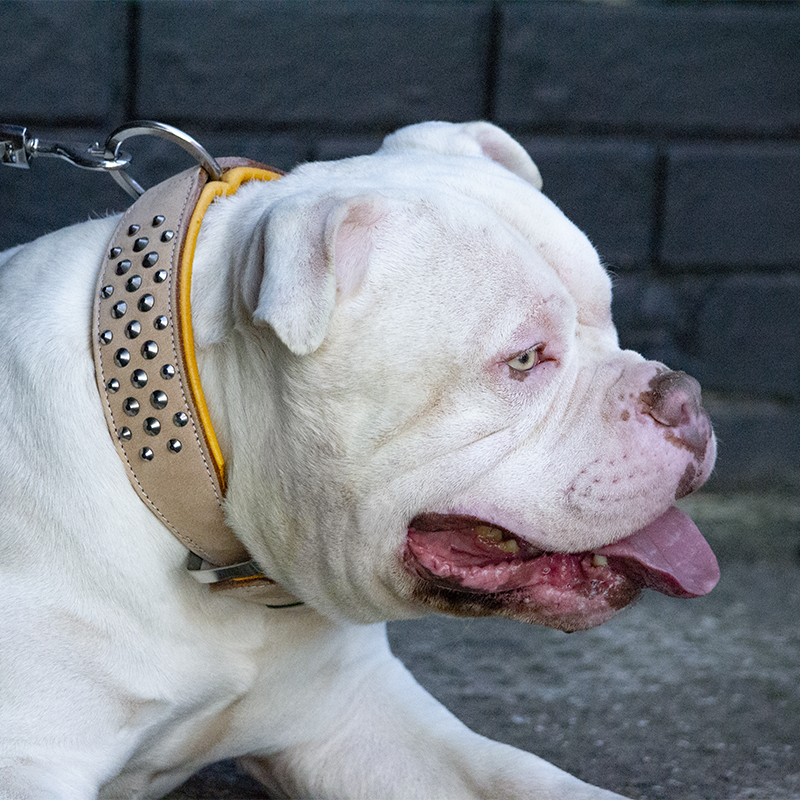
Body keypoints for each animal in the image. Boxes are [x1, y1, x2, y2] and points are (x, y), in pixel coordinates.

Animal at [0, 122, 720, 796]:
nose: (685, 398)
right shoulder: (30, 762)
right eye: (522, 359)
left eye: (607, 310)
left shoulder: (358, 719)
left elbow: (525, 779)